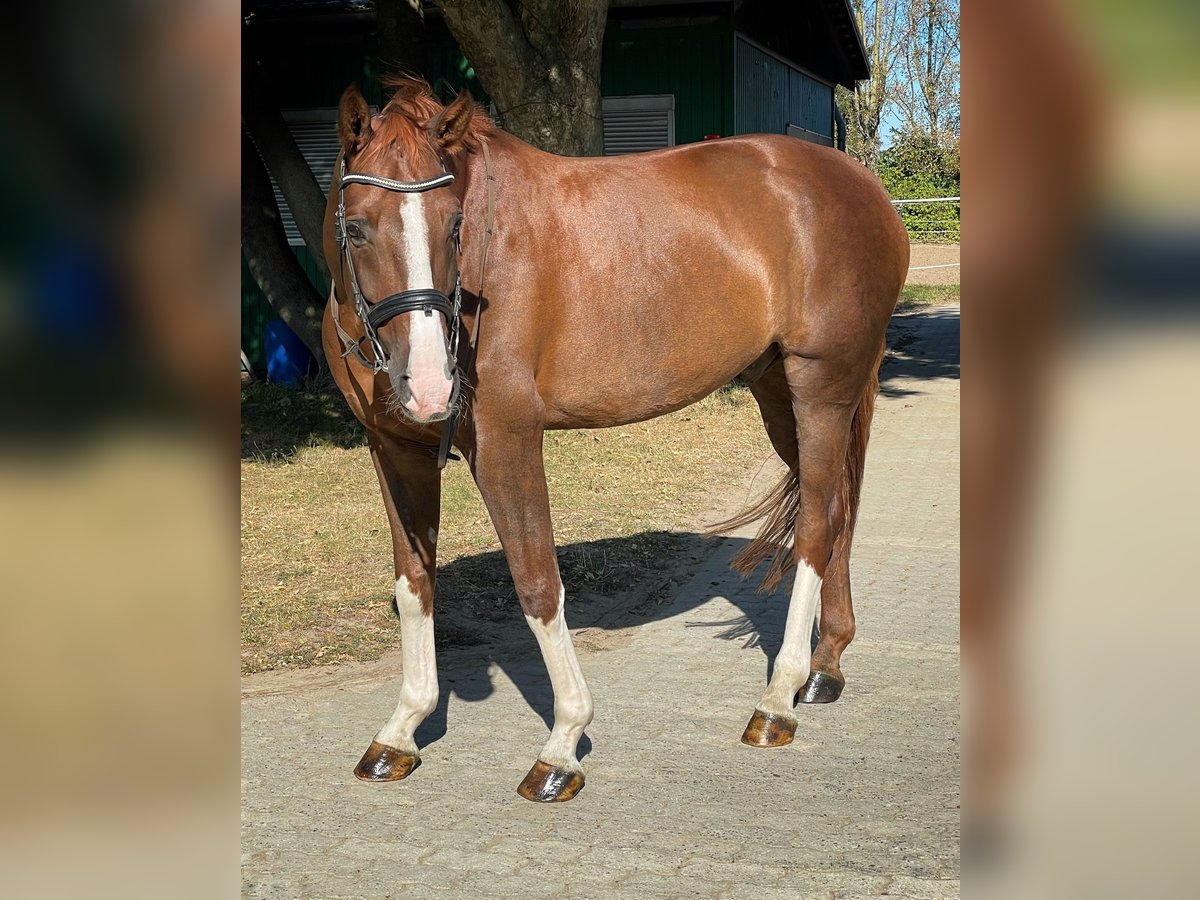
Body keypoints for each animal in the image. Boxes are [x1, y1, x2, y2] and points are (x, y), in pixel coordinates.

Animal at [324, 81, 902, 801]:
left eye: (455, 225)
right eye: (355, 226)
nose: (430, 386)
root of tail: (861, 185)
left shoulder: (507, 442)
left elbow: (538, 584)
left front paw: (563, 744)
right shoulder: (395, 452)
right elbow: (414, 584)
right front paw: (402, 728)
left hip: (821, 388)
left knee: (819, 525)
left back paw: (777, 700)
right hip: (777, 392)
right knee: (837, 514)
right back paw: (824, 668)